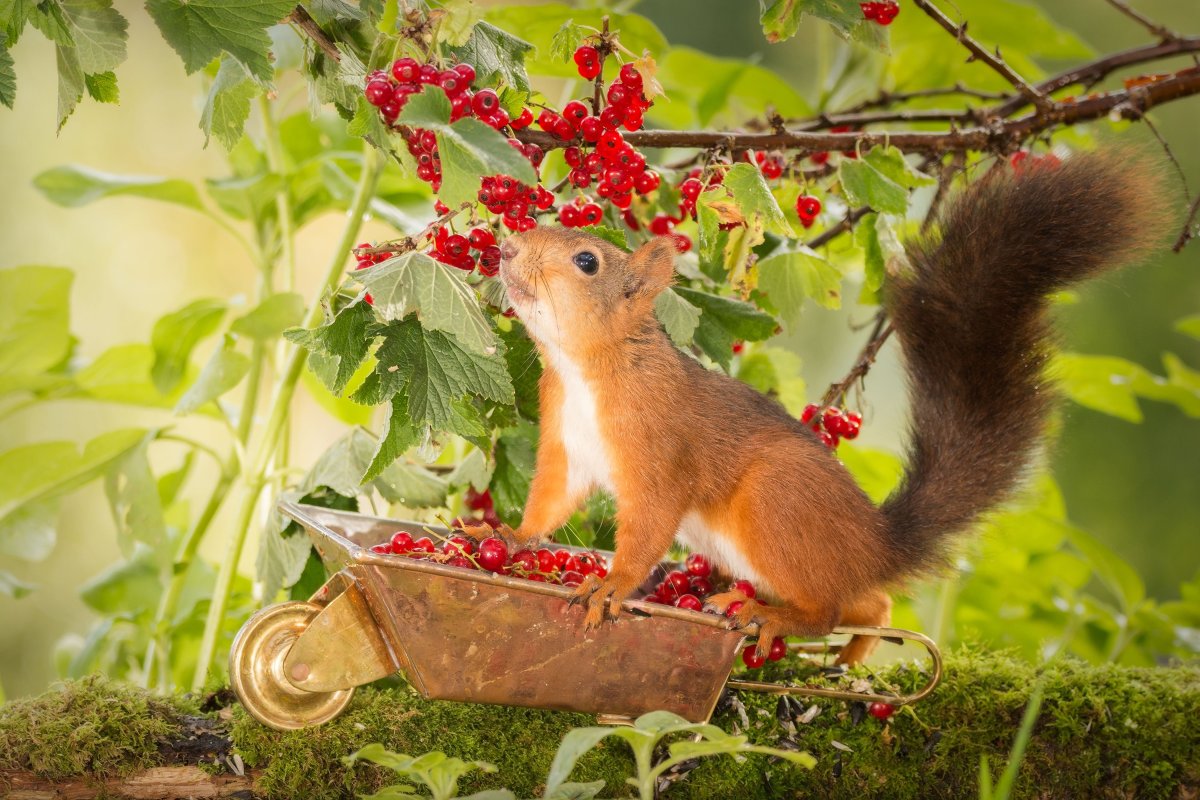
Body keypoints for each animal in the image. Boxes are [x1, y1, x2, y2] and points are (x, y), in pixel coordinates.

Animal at [490, 151, 1163, 664]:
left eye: (587, 261)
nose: (507, 248)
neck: (584, 366)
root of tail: (875, 543)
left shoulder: (660, 453)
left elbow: (647, 526)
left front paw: (610, 588)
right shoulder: (566, 445)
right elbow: (549, 502)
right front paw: (504, 533)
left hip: (776, 502)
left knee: (828, 607)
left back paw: (772, 617)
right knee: (869, 602)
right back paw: (846, 644)